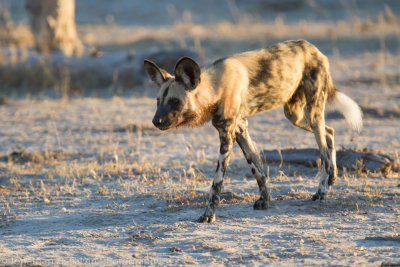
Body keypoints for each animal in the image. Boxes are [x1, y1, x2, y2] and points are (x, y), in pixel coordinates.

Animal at [144, 39, 362, 224]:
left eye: (175, 101)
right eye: (158, 101)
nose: (155, 121)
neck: (215, 87)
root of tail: (313, 48)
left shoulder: (227, 136)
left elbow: (216, 184)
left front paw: (208, 215)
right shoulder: (240, 129)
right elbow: (258, 170)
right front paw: (265, 201)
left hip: (313, 111)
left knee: (323, 151)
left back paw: (322, 190)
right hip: (295, 115)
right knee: (329, 132)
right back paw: (332, 176)